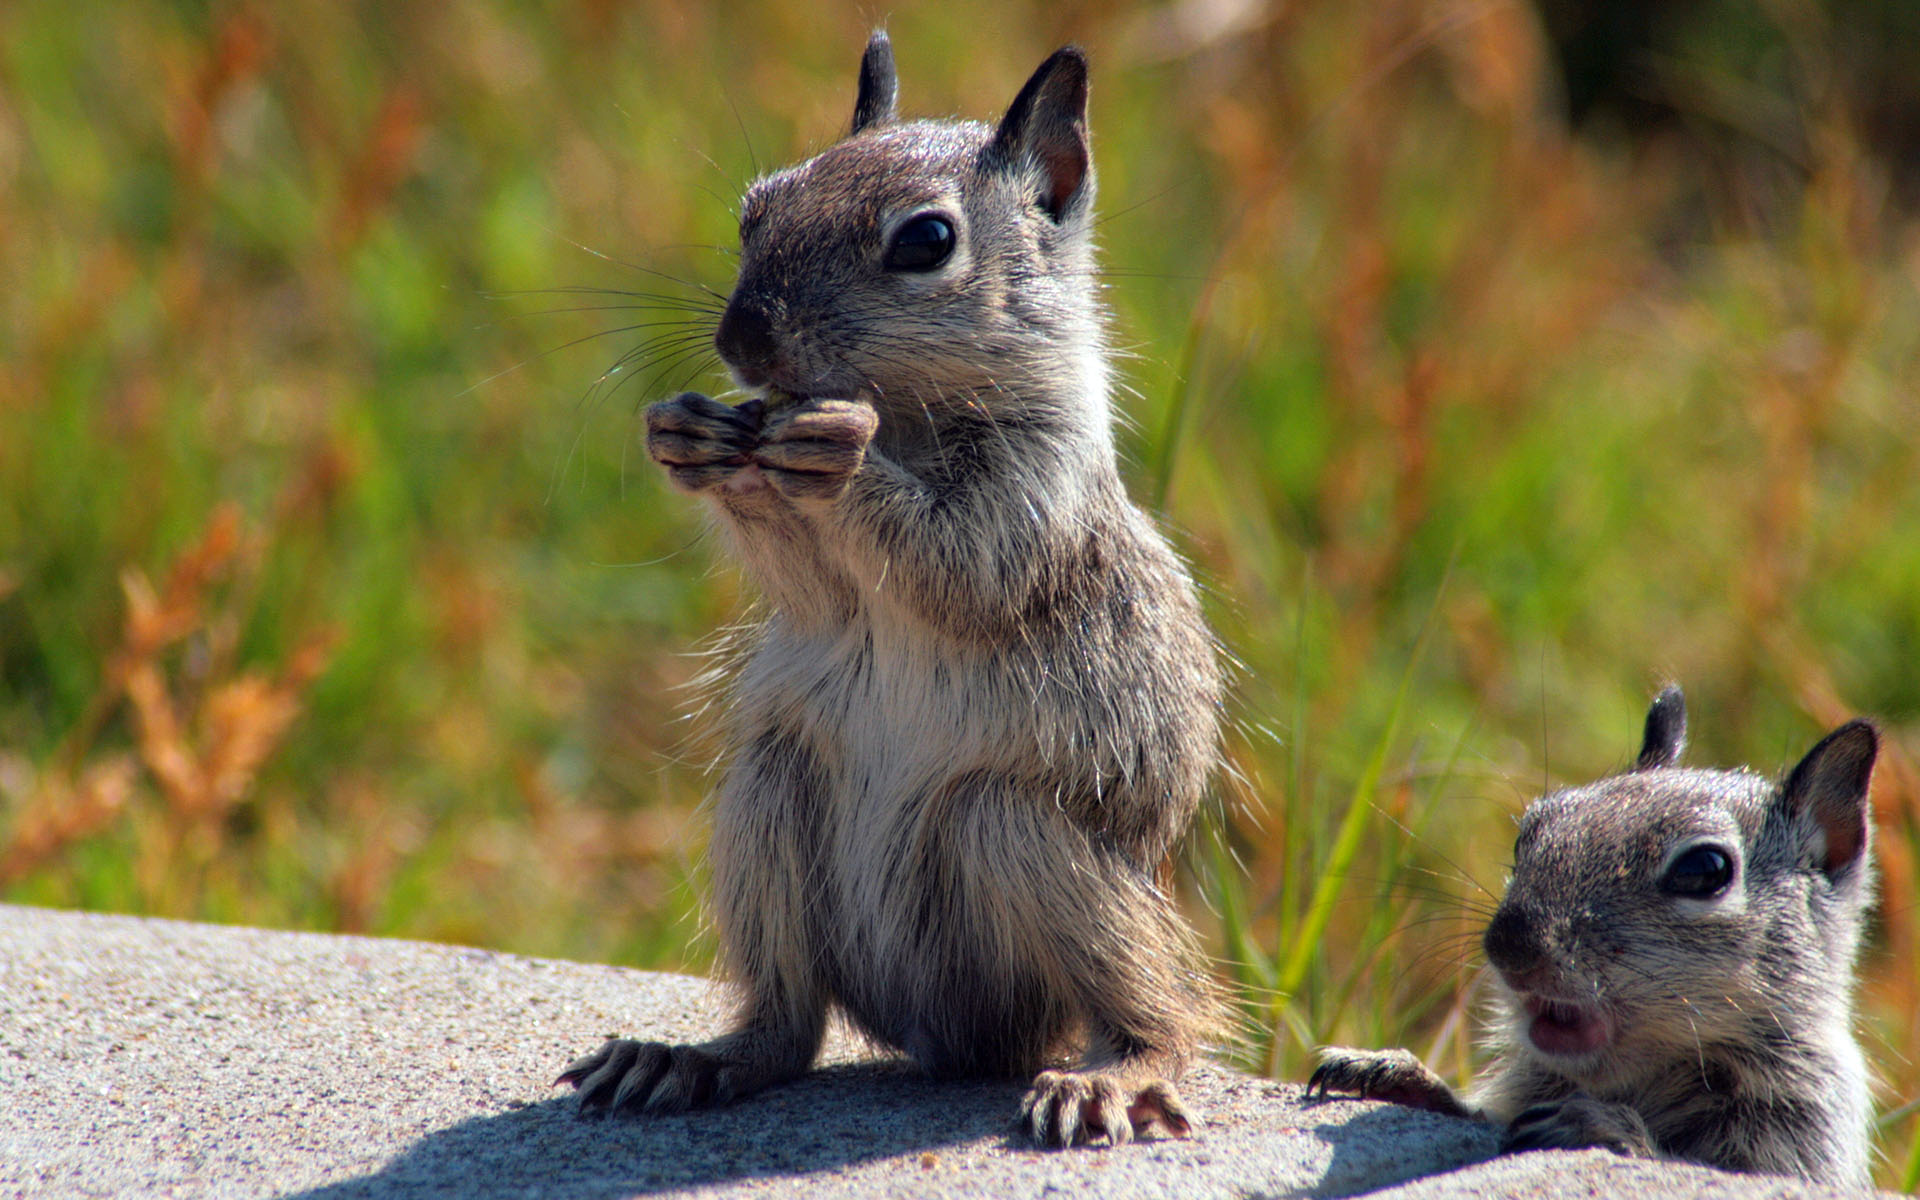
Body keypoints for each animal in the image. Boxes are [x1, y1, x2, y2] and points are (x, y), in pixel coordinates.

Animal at [552, 32, 1228, 1144]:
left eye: (926, 241)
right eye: (756, 208)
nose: (743, 343)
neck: (906, 410)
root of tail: (938, 1040)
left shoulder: (1033, 495)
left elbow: (959, 565)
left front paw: (840, 456)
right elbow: (815, 591)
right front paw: (691, 436)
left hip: (1022, 840)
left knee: (1157, 1008)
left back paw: (1112, 1076)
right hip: (770, 804)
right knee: (787, 1025)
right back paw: (689, 1060)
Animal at [1305, 687, 1873, 1182]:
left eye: (1704, 871)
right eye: (1527, 833)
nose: (1510, 946)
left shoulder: (1800, 1132)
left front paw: (1599, 1125)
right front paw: (1397, 1073)